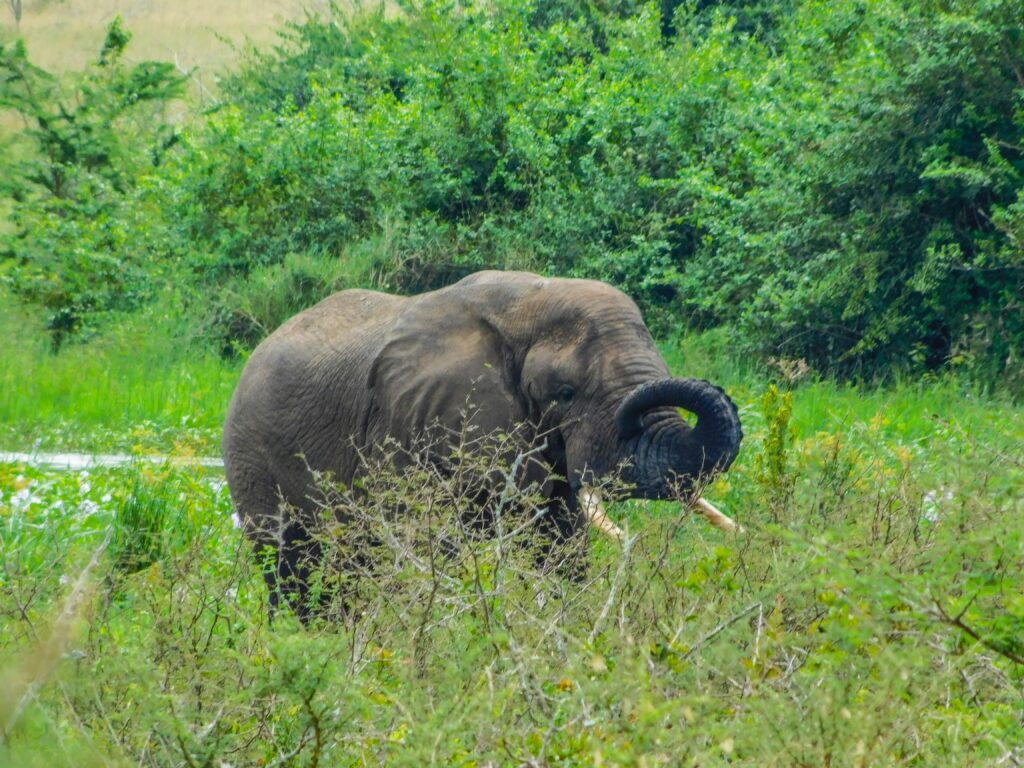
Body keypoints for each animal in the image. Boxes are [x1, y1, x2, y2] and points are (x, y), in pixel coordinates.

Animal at [223, 270, 743, 620]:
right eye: (565, 394)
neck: (531, 299)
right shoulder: (411, 425)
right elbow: (428, 543)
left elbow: (560, 543)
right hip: (252, 459)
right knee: (293, 568)